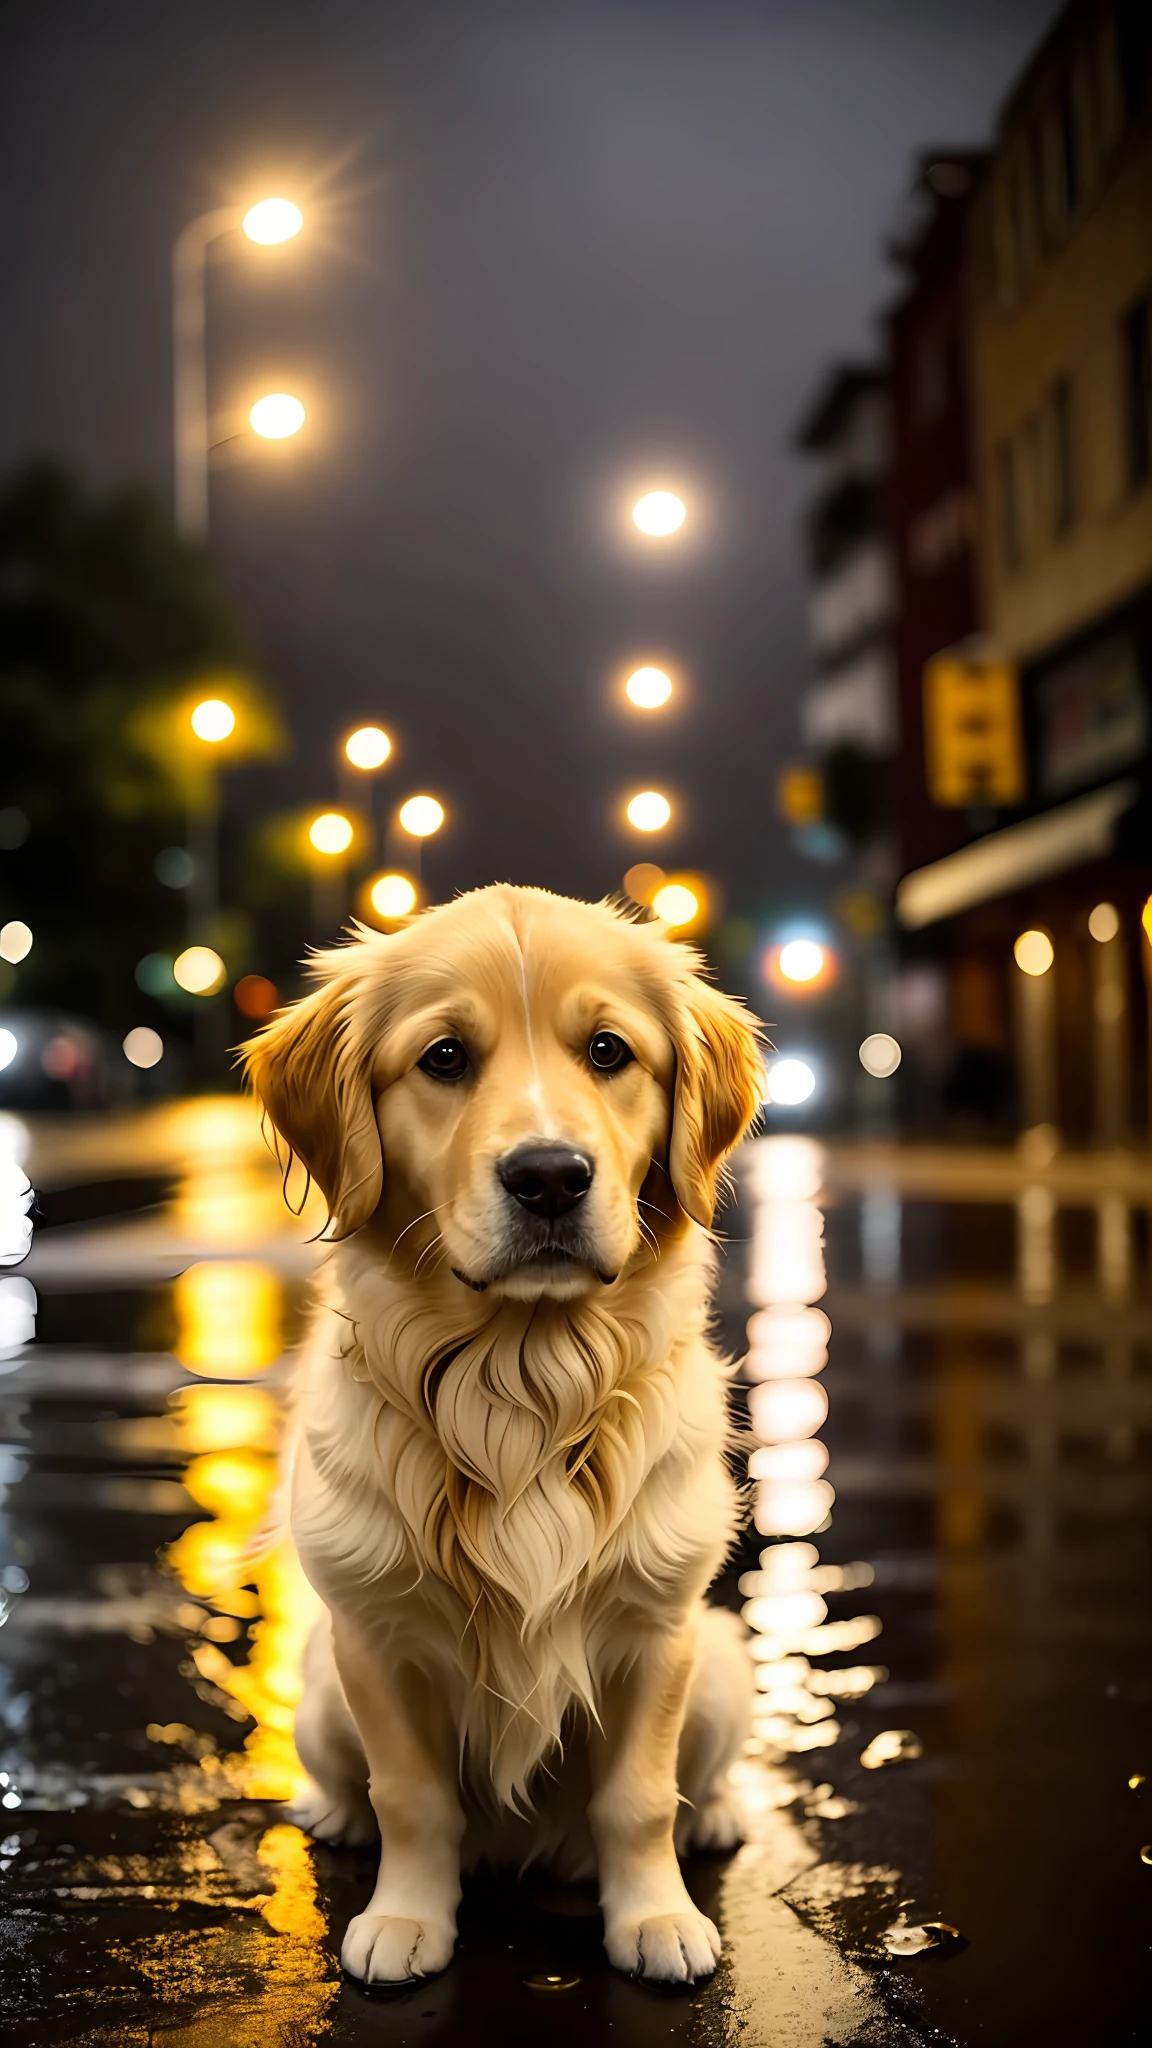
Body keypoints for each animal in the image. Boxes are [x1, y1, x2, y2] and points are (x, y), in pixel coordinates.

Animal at [242, 880, 762, 1982]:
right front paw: (406, 1919)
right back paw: (333, 1813)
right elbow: (412, 1797)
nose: (550, 1175)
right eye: (445, 1057)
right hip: (319, 1694)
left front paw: (656, 1917)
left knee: (696, 1778)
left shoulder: (655, 1630)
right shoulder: (378, 1638)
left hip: (722, 1666)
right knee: (354, 1781)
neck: (522, 1382)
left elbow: (638, 1798)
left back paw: (719, 1815)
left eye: (609, 1051)